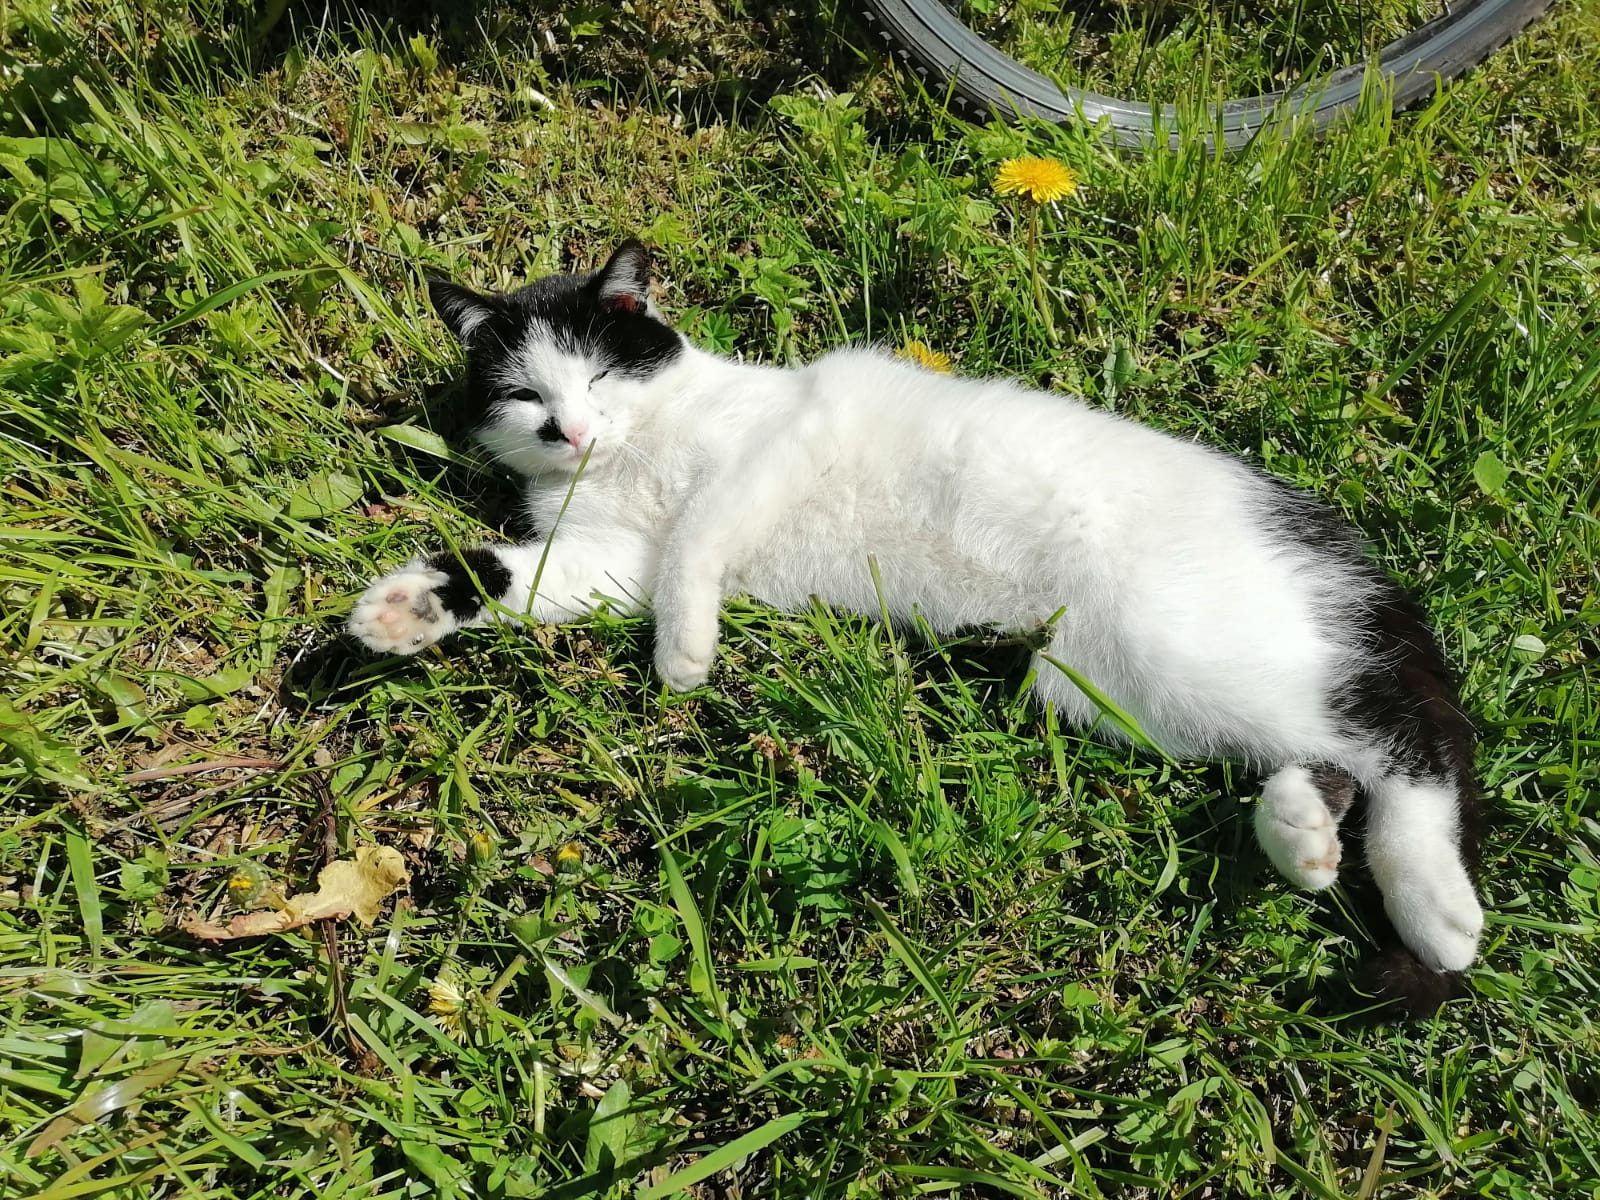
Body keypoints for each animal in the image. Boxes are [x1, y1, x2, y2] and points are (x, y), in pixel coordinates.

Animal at [348, 240, 1485, 1011]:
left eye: (598, 373)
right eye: (523, 395)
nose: (573, 431)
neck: (636, 454)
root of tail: (1327, 535)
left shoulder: (774, 446)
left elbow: (699, 537)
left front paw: (684, 651)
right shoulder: (612, 554)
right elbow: (525, 573)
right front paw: (407, 608)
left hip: (1190, 644)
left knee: (1410, 744)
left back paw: (1436, 910)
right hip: (1114, 688)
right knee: (1330, 758)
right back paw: (1302, 837)